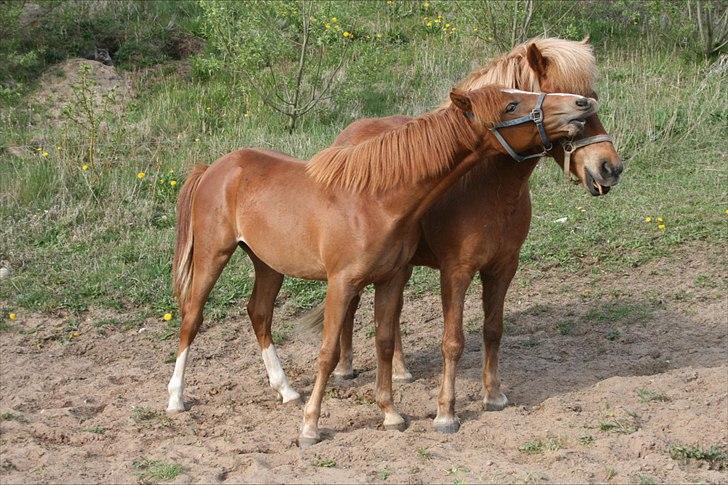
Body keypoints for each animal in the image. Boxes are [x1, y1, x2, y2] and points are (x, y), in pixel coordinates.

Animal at [166, 85, 596, 444]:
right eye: (510, 105)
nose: (581, 104)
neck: (375, 199)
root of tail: (214, 168)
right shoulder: (342, 283)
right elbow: (328, 352)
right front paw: (310, 427)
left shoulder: (390, 280)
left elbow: (385, 342)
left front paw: (390, 413)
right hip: (212, 257)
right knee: (192, 318)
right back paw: (176, 398)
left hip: (268, 263)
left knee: (259, 314)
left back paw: (285, 389)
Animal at [292, 36, 624, 432]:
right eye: (569, 98)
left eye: (591, 96)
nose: (609, 168)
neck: (486, 186)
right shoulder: (456, 272)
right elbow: (452, 341)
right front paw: (446, 412)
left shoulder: (502, 267)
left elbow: (493, 329)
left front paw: (493, 395)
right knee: (353, 309)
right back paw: (345, 368)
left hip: (401, 266)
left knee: (392, 316)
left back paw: (401, 371)